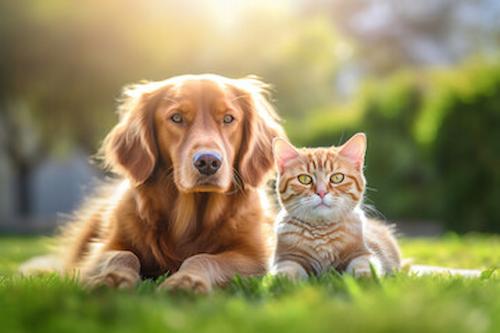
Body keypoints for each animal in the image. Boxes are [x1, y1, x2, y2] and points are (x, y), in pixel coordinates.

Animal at [48, 73, 286, 290]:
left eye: (228, 119)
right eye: (177, 118)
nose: (208, 162)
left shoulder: (253, 258)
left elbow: (203, 258)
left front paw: (186, 280)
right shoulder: (100, 251)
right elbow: (123, 255)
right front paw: (112, 278)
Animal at [272, 132, 400, 278]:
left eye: (337, 178)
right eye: (304, 179)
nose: (321, 192)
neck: (322, 231)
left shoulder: (362, 253)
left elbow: (364, 266)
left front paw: (365, 278)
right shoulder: (287, 258)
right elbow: (286, 271)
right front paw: (282, 279)